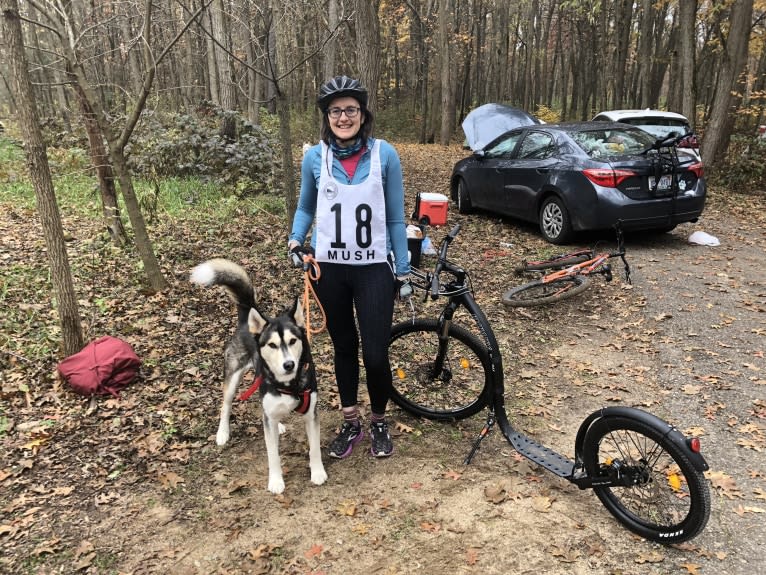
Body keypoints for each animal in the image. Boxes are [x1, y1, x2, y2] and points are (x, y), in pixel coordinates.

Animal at [191, 258, 328, 492]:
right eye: (272, 345)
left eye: (293, 340)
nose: (289, 364)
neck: (290, 385)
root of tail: (247, 316)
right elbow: (273, 454)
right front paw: (276, 481)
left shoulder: (311, 413)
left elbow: (315, 448)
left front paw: (318, 472)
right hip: (233, 377)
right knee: (226, 406)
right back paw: (223, 433)